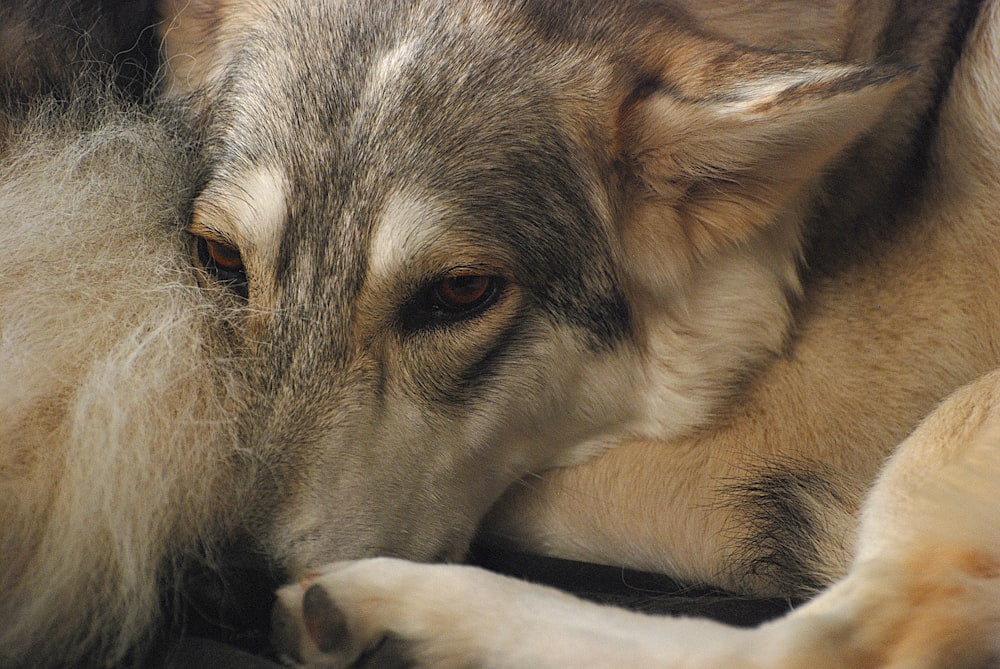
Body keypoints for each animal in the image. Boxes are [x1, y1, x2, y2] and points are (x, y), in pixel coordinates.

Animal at [0, 0, 996, 664]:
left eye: (460, 292)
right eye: (216, 255)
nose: (218, 588)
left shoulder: (799, 435)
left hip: (943, 426)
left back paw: (381, 605)